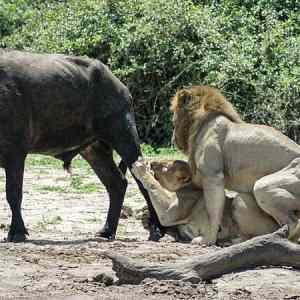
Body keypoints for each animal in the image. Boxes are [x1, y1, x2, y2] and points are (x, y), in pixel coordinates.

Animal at [0, 48, 164, 241]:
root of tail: (121, 87)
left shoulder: (15, 151)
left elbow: (13, 193)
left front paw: (17, 232)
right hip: (93, 149)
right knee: (117, 183)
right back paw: (107, 230)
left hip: (123, 134)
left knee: (144, 180)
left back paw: (156, 229)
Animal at [132, 159, 280, 244]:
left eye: (165, 166)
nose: (152, 163)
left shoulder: (170, 213)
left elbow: (154, 184)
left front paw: (140, 168)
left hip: (240, 199)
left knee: (258, 235)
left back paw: (229, 240)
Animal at [170, 85, 300, 245]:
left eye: (173, 121)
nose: (173, 138)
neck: (200, 124)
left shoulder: (213, 176)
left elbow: (213, 212)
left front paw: (207, 239)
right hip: (245, 199)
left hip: (264, 186)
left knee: (293, 223)